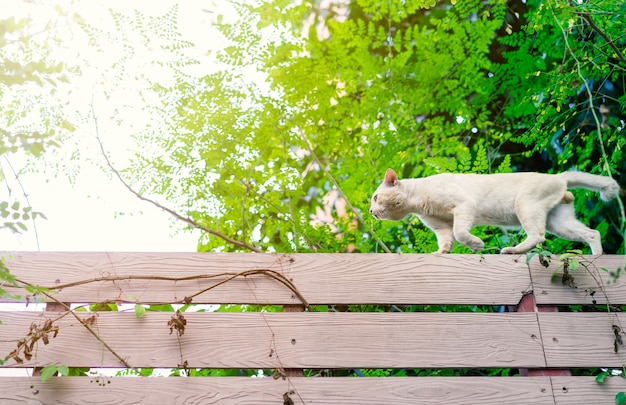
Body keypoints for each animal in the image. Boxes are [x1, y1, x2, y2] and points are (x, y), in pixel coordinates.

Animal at [368, 167, 616, 252]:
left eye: (375, 197)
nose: (370, 211)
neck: (418, 201)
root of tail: (558, 177)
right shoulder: (441, 227)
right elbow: (447, 242)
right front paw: (440, 254)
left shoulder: (463, 206)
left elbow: (460, 233)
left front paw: (477, 245)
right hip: (559, 222)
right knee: (592, 233)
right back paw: (597, 258)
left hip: (525, 206)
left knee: (538, 236)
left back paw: (511, 250)